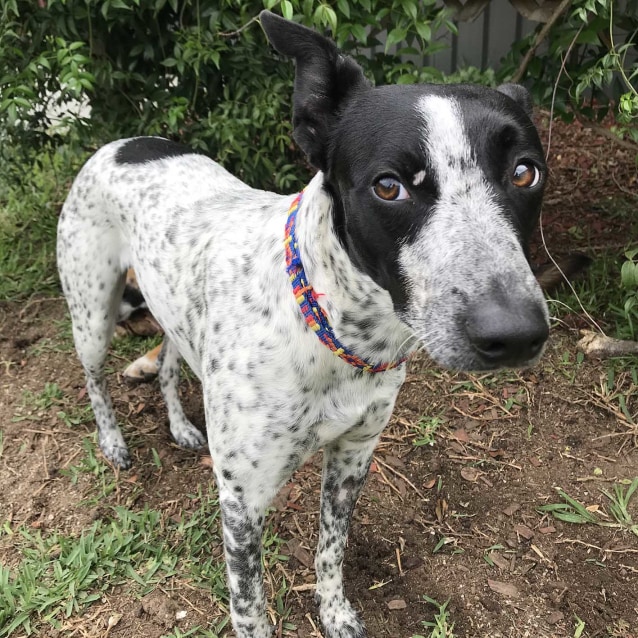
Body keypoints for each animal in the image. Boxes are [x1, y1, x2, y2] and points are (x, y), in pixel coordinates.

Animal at [60, 10, 556, 638]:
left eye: (525, 173)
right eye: (389, 185)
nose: (514, 334)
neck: (339, 336)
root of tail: (122, 142)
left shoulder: (352, 458)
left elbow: (330, 550)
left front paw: (335, 613)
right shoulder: (242, 503)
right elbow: (250, 607)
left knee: (171, 361)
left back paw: (180, 426)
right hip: (92, 312)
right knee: (94, 379)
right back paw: (113, 441)